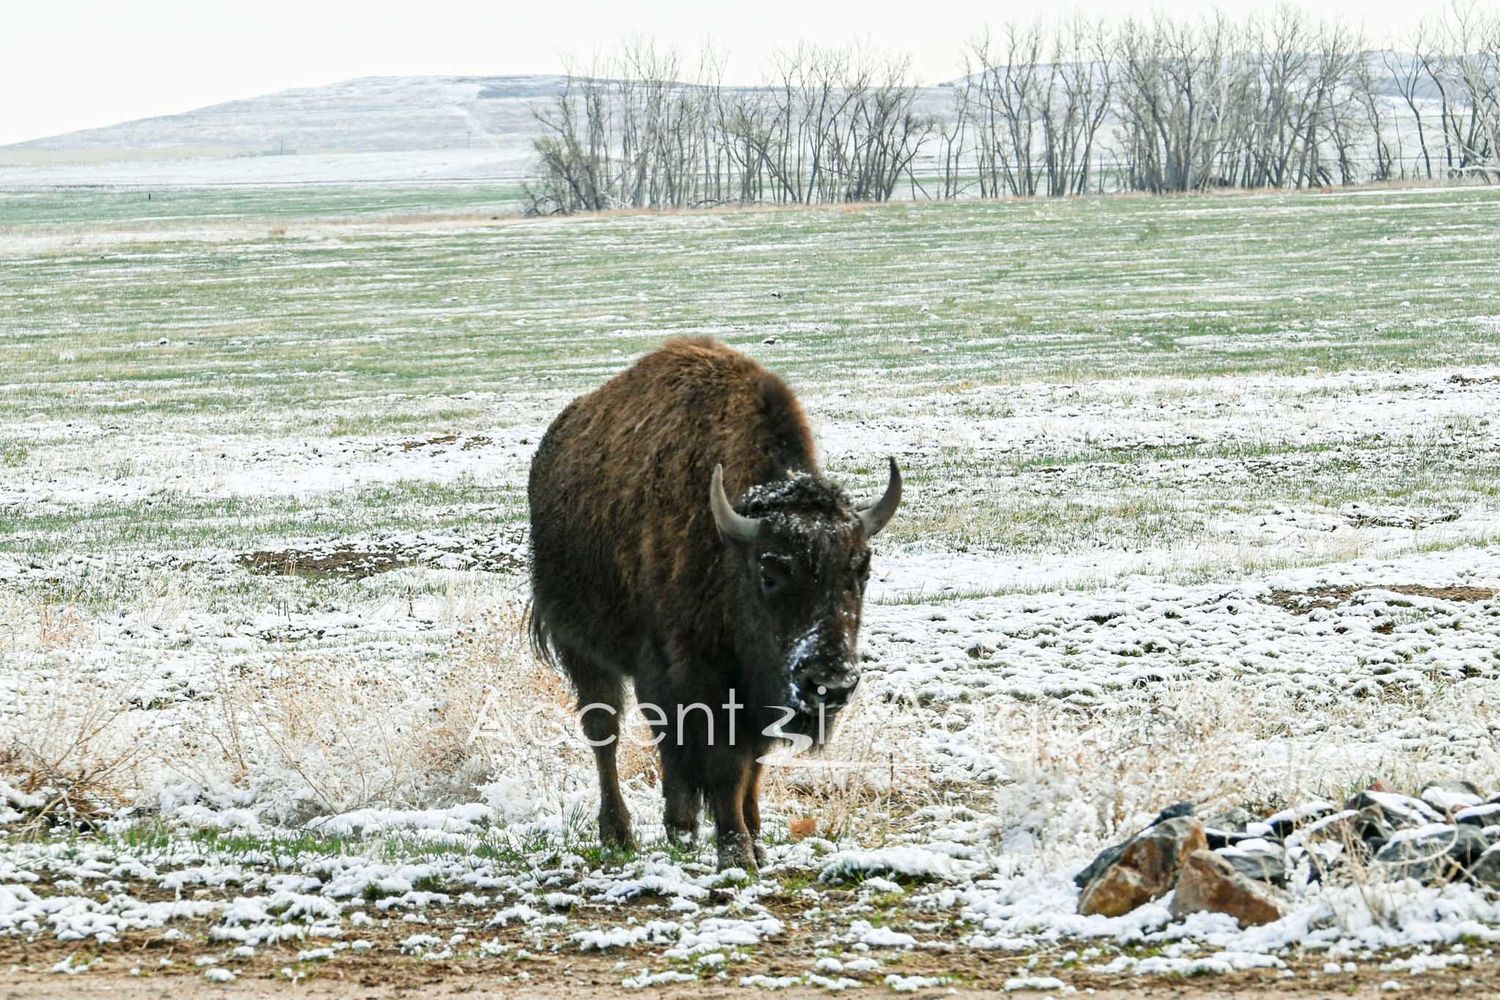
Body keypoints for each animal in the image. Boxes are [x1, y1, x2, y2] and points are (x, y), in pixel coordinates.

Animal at [527, 337, 900, 869]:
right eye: (770, 573)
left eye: (862, 568)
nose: (830, 684)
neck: (730, 548)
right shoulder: (697, 676)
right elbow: (724, 762)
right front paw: (737, 854)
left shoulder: (757, 691)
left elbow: (752, 763)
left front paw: (756, 840)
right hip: (583, 650)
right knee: (605, 730)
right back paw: (619, 834)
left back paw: (680, 827)